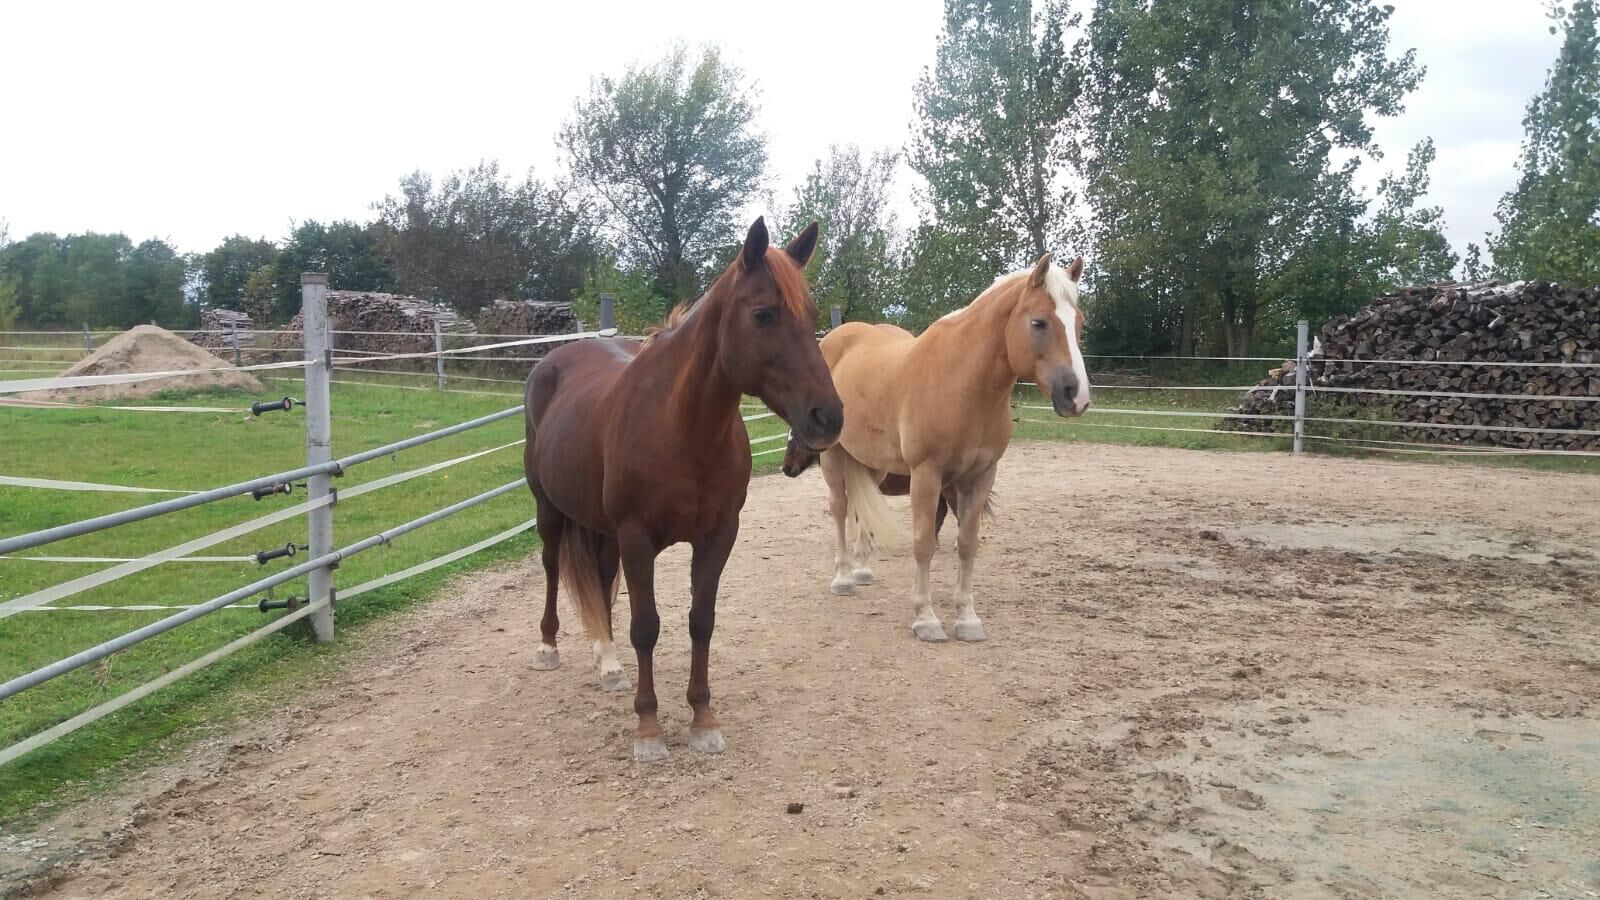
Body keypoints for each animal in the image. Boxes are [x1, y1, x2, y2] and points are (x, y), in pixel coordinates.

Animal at [523, 217, 843, 762]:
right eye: (763, 314)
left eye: (813, 316)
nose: (828, 417)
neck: (681, 427)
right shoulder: (636, 538)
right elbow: (647, 627)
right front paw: (649, 728)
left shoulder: (718, 536)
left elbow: (701, 620)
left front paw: (702, 718)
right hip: (549, 509)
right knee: (550, 565)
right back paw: (549, 648)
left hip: (600, 527)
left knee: (600, 579)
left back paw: (608, 661)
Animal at [816, 254, 1090, 642]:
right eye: (1038, 322)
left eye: (1079, 323)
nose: (1076, 396)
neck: (961, 382)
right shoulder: (926, 475)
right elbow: (923, 543)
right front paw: (926, 619)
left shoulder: (981, 477)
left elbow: (967, 543)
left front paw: (967, 618)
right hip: (833, 455)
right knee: (839, 508)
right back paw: (842, 578)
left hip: (872, 462)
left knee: (860, 507)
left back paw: (862, 570)